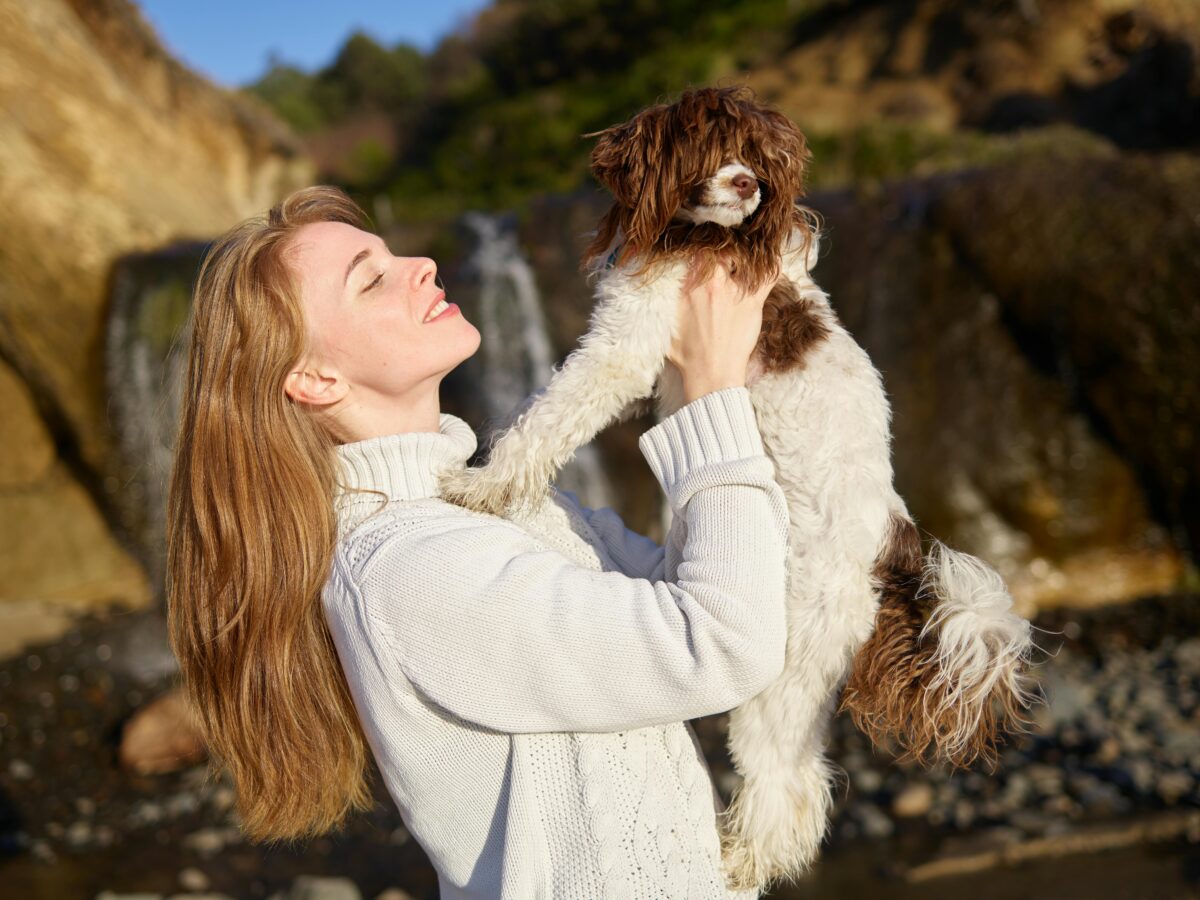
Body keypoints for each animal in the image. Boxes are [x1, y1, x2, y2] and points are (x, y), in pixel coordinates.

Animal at [441, 86, 1041, 897]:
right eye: (708, 144)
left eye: (757, 154)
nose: (750, 184)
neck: (696, 234)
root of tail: (888, 549)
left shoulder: (626, 347)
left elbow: (546, 417)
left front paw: (480, 484)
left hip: (782, 670)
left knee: (787, 790)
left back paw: (732, 863)